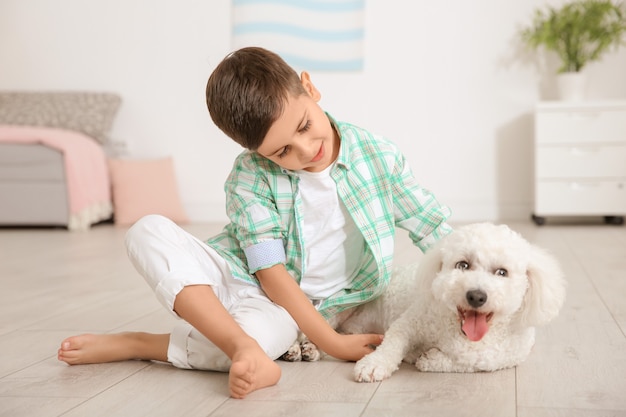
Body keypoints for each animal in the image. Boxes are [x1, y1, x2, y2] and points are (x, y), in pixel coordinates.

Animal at [282, 223, 564, 382]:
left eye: (502, 272)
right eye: (463, 265)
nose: (476, 295)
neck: (460, 332)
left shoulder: (498, 359)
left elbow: (464, 363)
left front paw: (429, 359)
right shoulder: (410, 324)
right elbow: (391, 345)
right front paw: (374, 365)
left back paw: (310, 350)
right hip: (340, 310)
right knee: (313, 330)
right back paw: (296, 349)